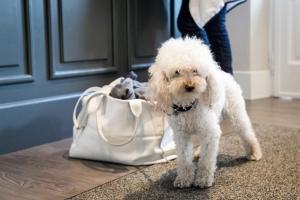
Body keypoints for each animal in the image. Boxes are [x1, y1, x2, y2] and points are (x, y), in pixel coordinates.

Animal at [149, 37, 262, 189]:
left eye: (195, 70)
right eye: (177, 72)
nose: (190, 86)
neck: (189, 106)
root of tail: (223, 72)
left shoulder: (210, 133)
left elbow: (207, 161)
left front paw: (203, 179)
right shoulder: (181, 136)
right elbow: (184, 159)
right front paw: (184, 179)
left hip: (236, 113)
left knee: (246, 132)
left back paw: (254, 152)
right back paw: (197, 153)